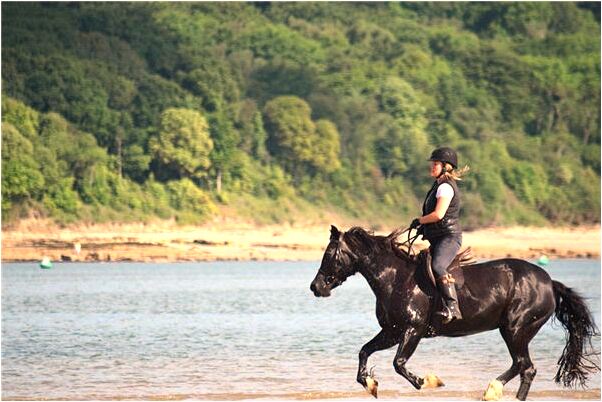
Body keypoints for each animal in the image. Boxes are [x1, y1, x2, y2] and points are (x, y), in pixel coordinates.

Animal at [310, 226, 596, 398]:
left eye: (330, 254)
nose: (315, 287)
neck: (395, 279)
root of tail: (549, 282)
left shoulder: (413, 330)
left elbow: (398, 363)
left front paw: (427, 381)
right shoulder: (392, 332)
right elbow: (364, 352)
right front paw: (370, 384)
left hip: (516, 329)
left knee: (525, 367)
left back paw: (493, 391)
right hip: (516, 331)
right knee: (523, 366)